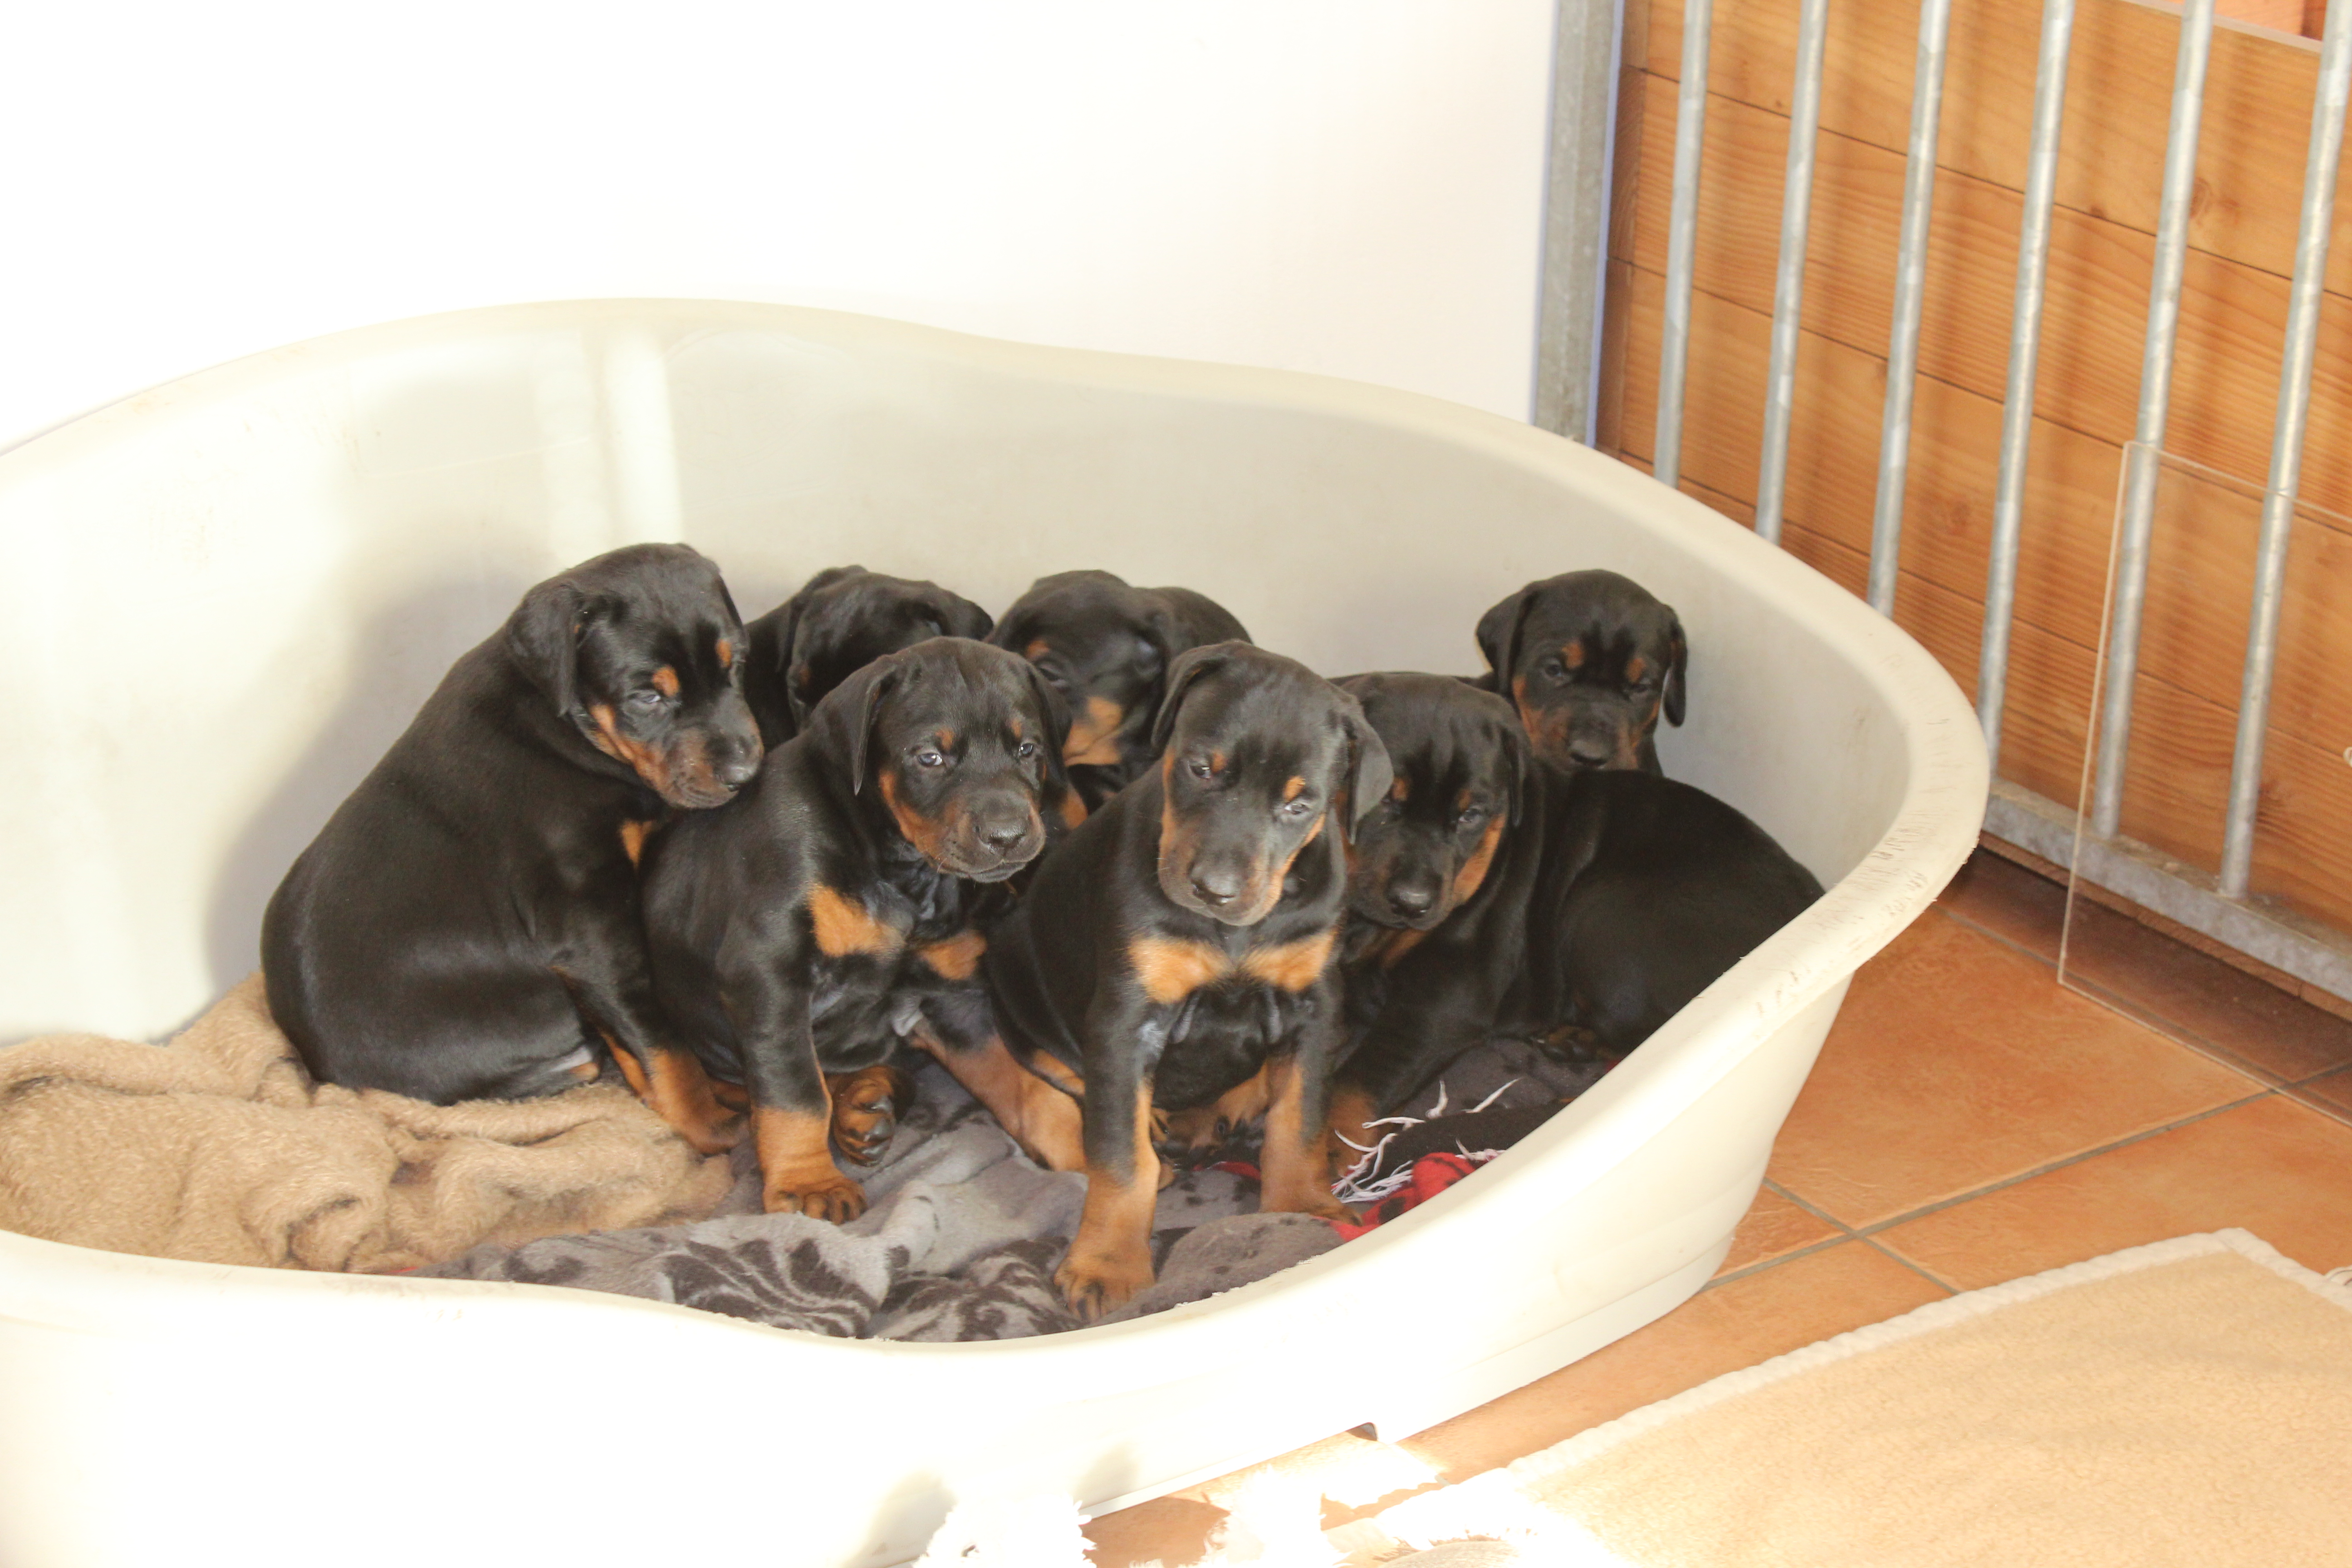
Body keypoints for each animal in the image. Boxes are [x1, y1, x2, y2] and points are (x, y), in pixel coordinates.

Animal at [263, 544, 762, 1153]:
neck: (568, 728)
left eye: (735, 665)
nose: (744, 774)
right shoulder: (590, 930)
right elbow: (660, 1042)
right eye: (647, 697)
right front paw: (708, 1125)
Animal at [640, 637, 1076, 1220]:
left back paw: (866, 1104)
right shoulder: (769, 976)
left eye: (1028, 749)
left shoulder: (956, 999)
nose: (1007, 836)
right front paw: (809, 1183)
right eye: (930, 757)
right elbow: (796, 1093)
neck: (903, 873)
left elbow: (1022, 1084)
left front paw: (1090, 1153)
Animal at [979, 643, 1389, 1319]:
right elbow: (1122, 1160)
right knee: (1069, 1074)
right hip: (1013, 983)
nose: (1214, 891)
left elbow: (1299, 1118)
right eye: (1200, 769)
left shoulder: (1313, 1006)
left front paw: (1301, 1204)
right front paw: (1107, 1264)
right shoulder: (1127, 1017)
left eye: (1299, 805)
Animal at [1328, 672, 1820, 1153]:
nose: (1412, 903)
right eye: (1383, 800)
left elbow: (1359, 1084)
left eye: (1471, 815)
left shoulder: (1451, 986)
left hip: (1603, 910)